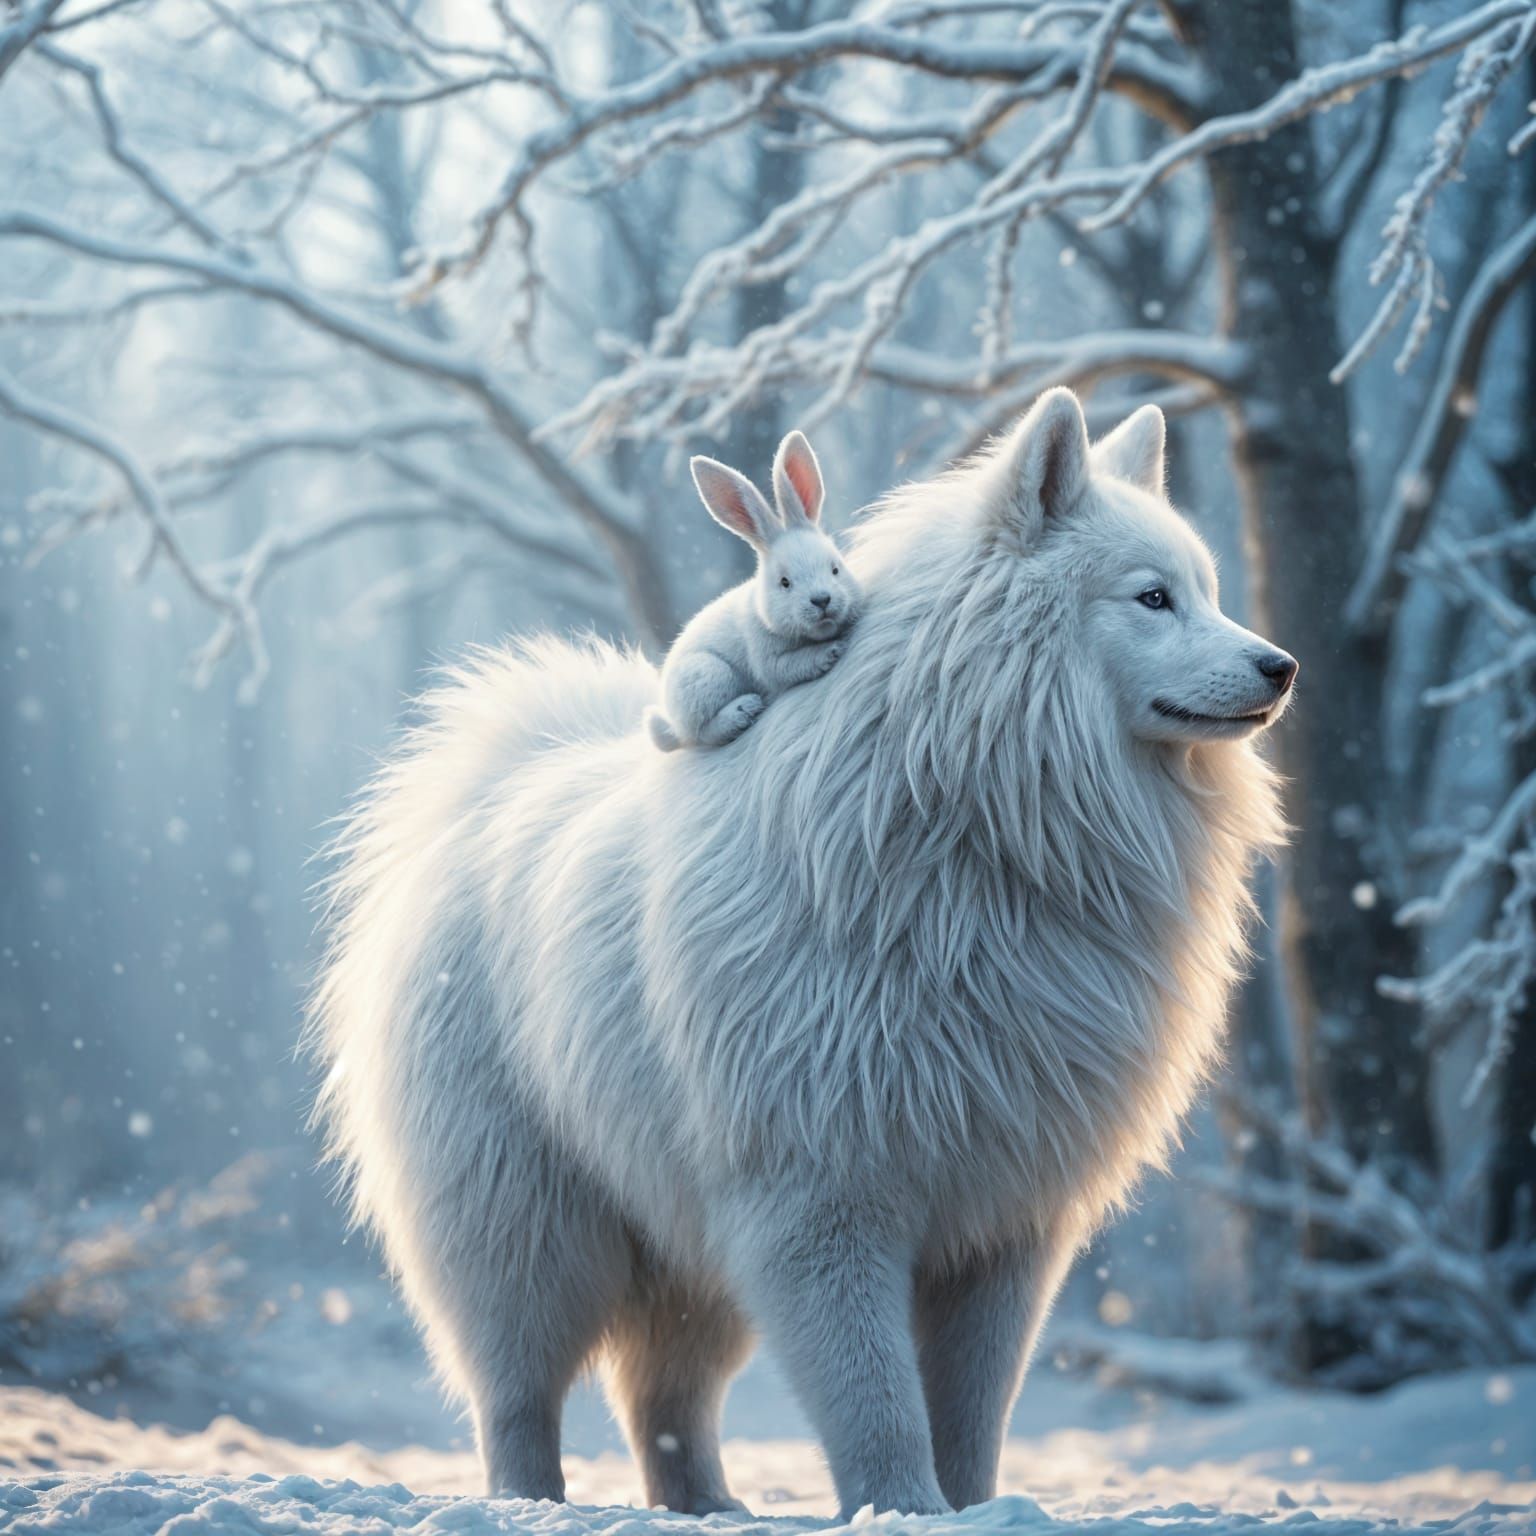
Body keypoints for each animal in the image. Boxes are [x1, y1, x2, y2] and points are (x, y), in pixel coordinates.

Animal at [645, 430, 860, 752]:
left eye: (836, 568)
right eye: (784, 582)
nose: (822, 600)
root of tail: (670, 717)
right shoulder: (767, 660)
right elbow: (791, 667)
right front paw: (829, 653)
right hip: (708, 675)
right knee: (699, 734)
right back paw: (742, 712)